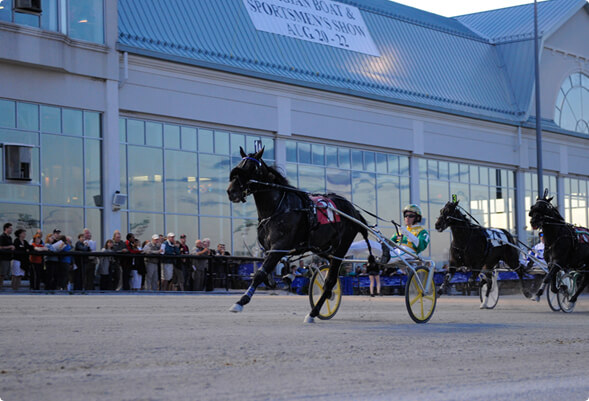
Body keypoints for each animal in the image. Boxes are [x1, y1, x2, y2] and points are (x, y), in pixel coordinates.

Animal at [225, 147, 372, 322]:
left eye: (252, 168)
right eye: (238, 165)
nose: (231, 191)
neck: (279, 208)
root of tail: (354, 211)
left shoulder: (279, 246)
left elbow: (260, 273)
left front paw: (241, 301)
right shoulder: (269, 249)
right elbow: (267, 273)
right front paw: (284, 278)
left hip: (341, 248)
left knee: (330, 280)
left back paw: (313, 312)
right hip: (324, 248)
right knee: (330, 276)